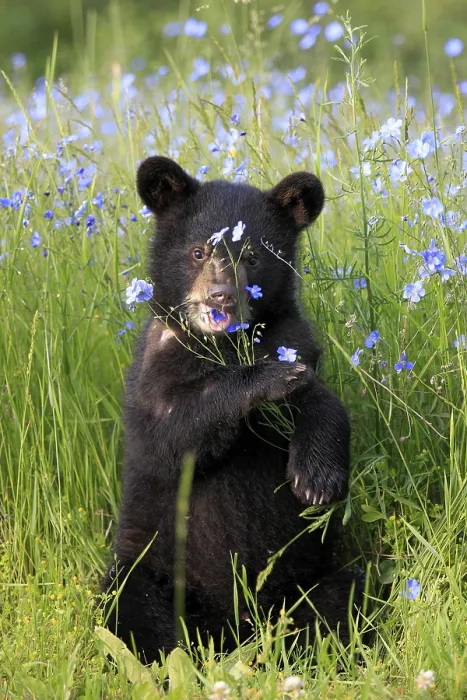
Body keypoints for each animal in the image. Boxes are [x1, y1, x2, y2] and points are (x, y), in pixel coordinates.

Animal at [102, 156, 354, 664]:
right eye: (199, 252)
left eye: (253, 256)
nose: (221, 296)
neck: (223, 347)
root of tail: (232, 630)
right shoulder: (152, 376)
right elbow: (173, 435)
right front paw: (264, 379)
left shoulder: (294, 341)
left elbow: (323, 402)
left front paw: (316, 479)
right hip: (146, 569)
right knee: (132, 614)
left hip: (312, 579)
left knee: (342, 601)